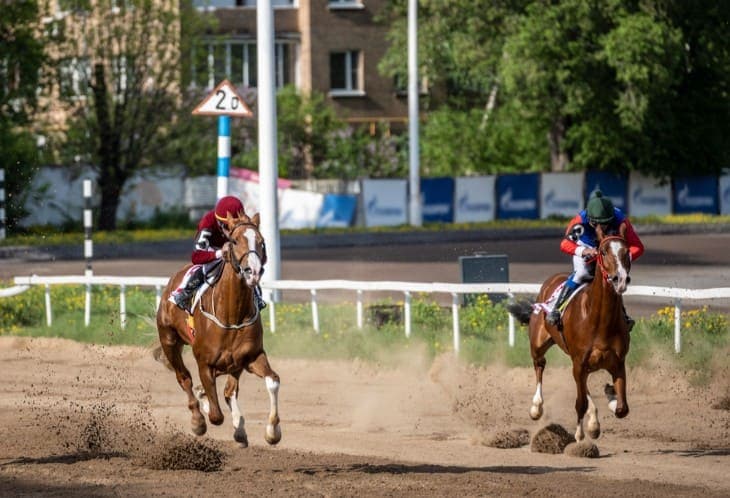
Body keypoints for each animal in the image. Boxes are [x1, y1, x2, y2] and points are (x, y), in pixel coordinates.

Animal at [155, 211, 281, 447]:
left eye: (262, 242)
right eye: (234, 241)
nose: (253, 271)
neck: (232, 315)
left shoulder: (251, 356)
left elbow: (273, 381)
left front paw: (272, 432)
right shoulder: (205, 363)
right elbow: (215, 415)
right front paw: (203, 408)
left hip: (235, 363)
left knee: (229, 390)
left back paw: (238, 429)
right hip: (169, 340)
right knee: (184, 378)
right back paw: (198, 417)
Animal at [507, 227, 632, 442]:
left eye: (627, 252)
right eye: (603, 252)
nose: (620, 279)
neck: (600, 320)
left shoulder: (617, 362)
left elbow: (622, 409)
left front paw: (611, 396)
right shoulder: (579, 362)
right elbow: (580, 403)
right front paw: (580, 436)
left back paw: (594, 419)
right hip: (539, 345)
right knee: (540, 365)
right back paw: (536, 407)